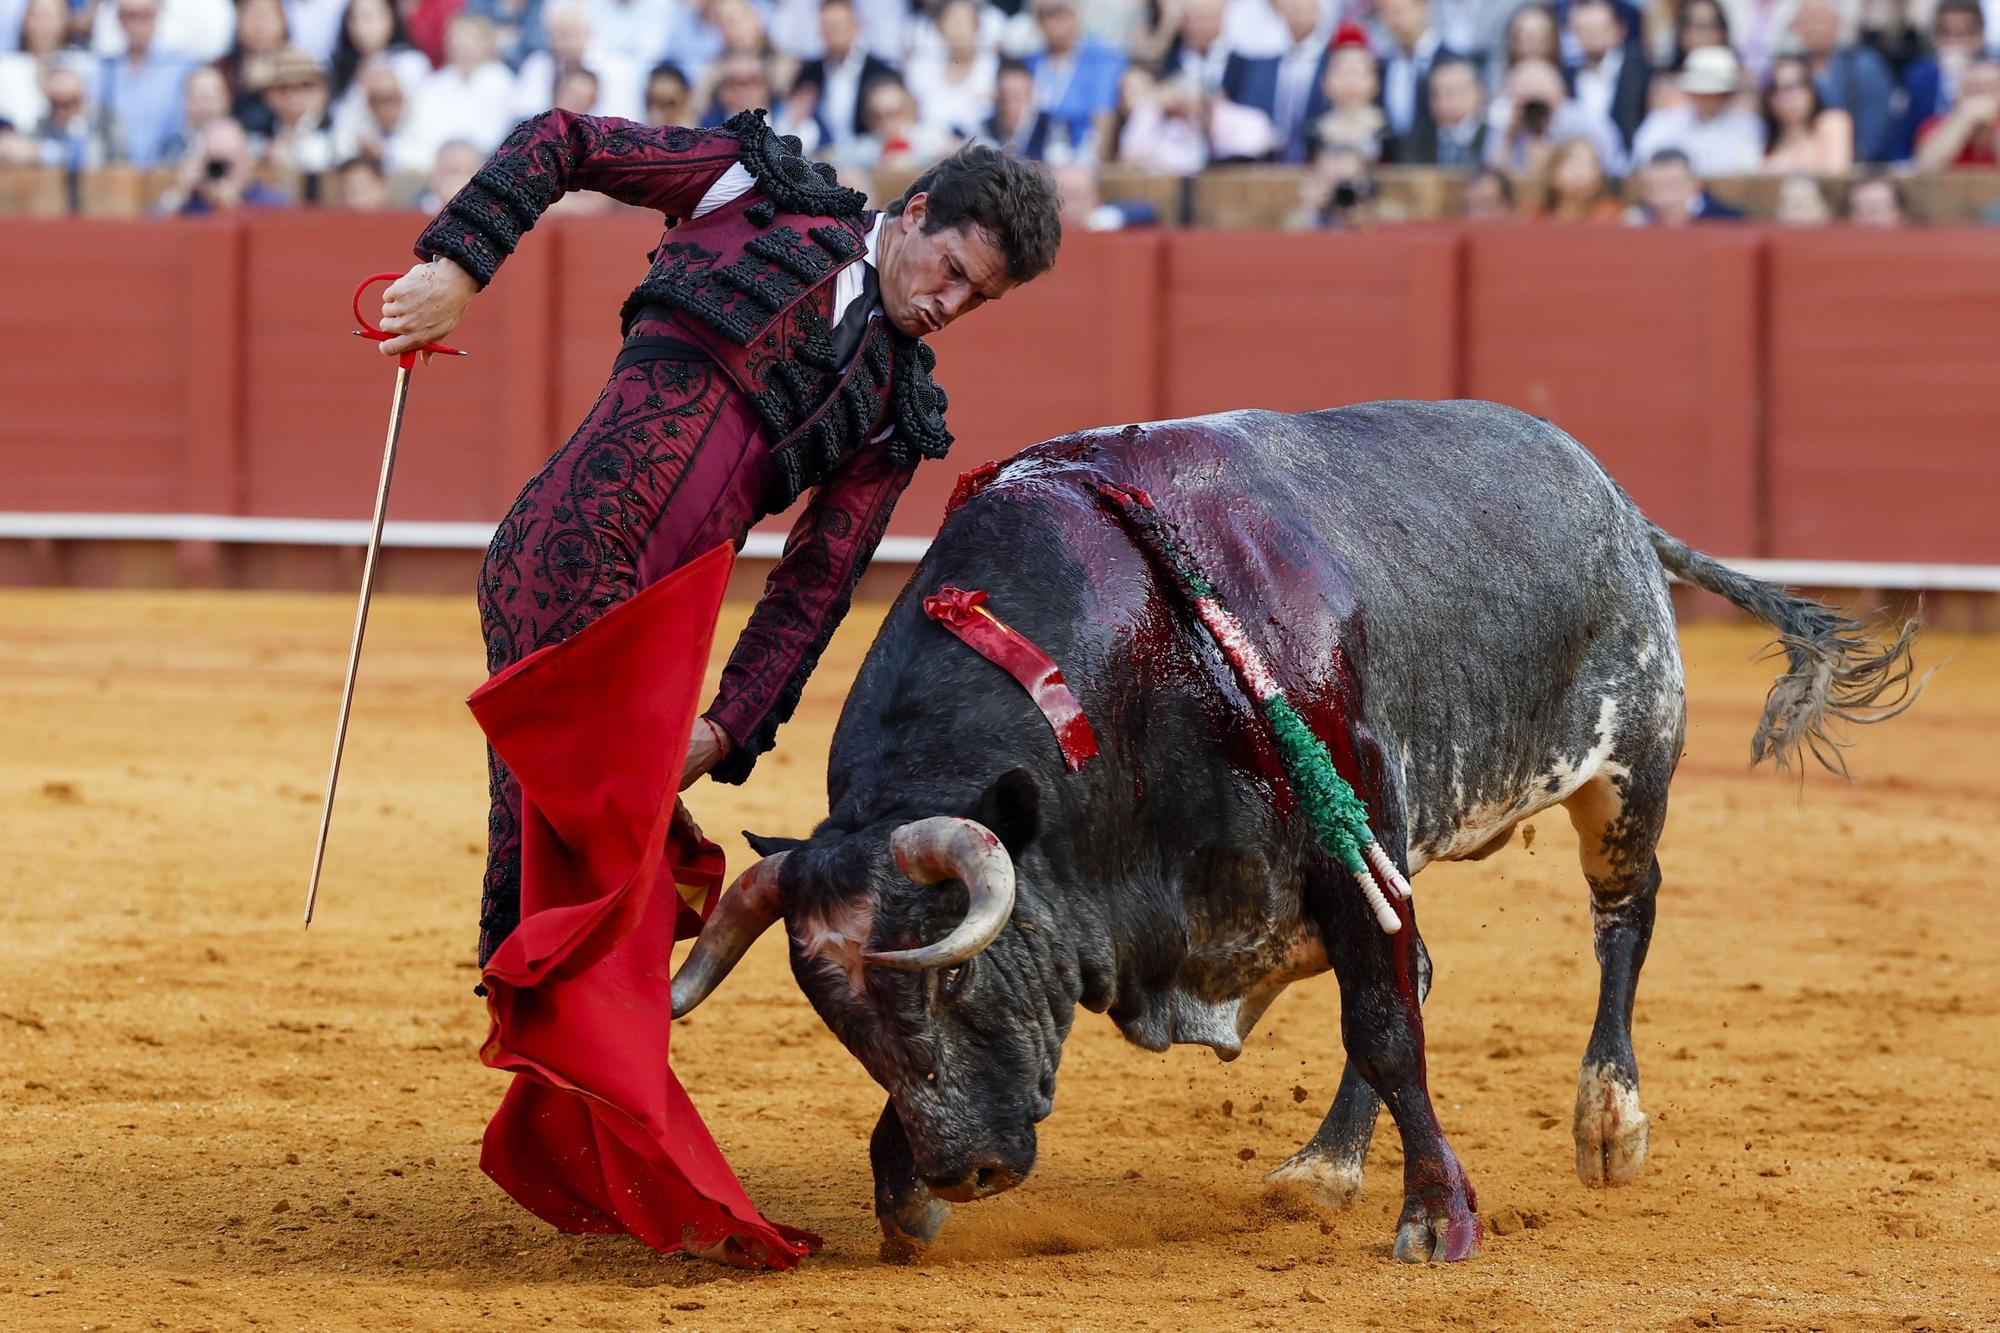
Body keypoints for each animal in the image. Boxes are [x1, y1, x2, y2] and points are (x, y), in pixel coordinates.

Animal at [668, 400, 1904, 1264]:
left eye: (957, 978)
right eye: (835, 1014)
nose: (963, 1166)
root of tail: (1610, 496)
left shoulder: (1342, 846)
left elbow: (1387, 1027)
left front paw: (1436, 1222)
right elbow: (1388, 1006)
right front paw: (899, 1196)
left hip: (1625, 767)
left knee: (1621, 918)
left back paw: (1607, 1122)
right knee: (1427, 966)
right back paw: (1325, 1165)